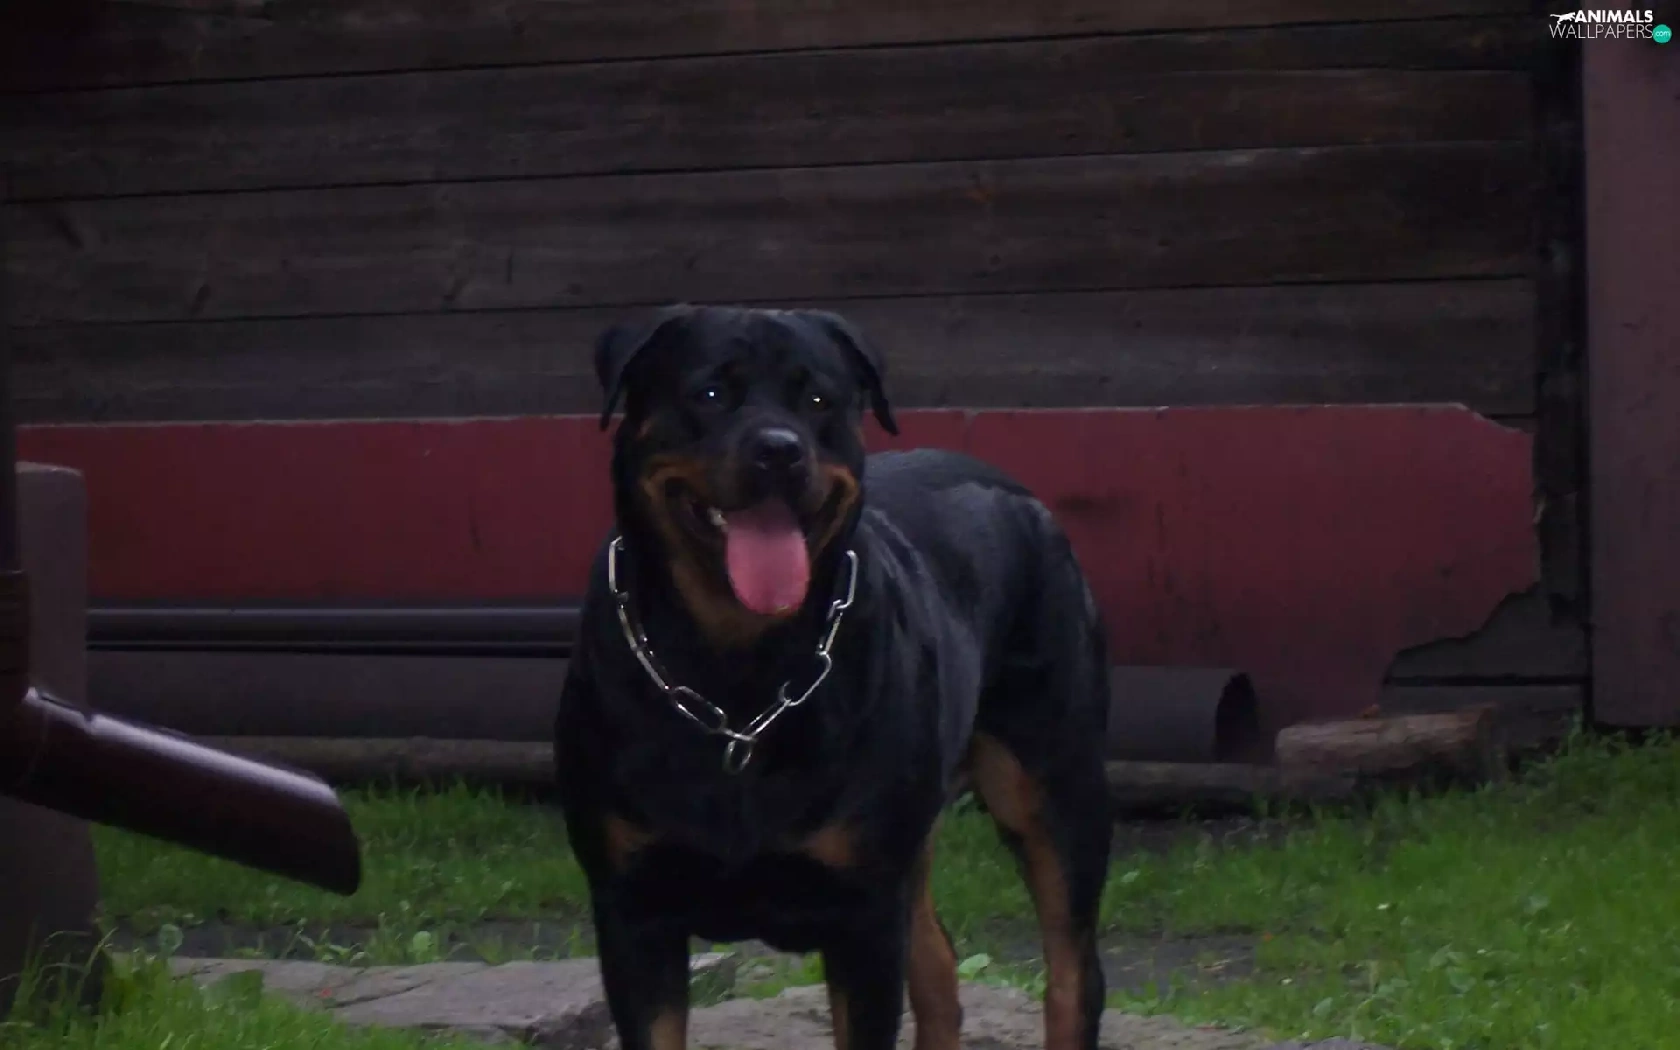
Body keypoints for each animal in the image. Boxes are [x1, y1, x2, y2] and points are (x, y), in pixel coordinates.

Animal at [554, 305, 1113, 1050]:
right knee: (938, 966)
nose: (779, 450)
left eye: (818, 400)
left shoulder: (862, 912)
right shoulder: (632, 909)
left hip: (1054, 786)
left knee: (1072, 972)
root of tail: (1026, 497)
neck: (736, 676)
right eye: (709, 393)